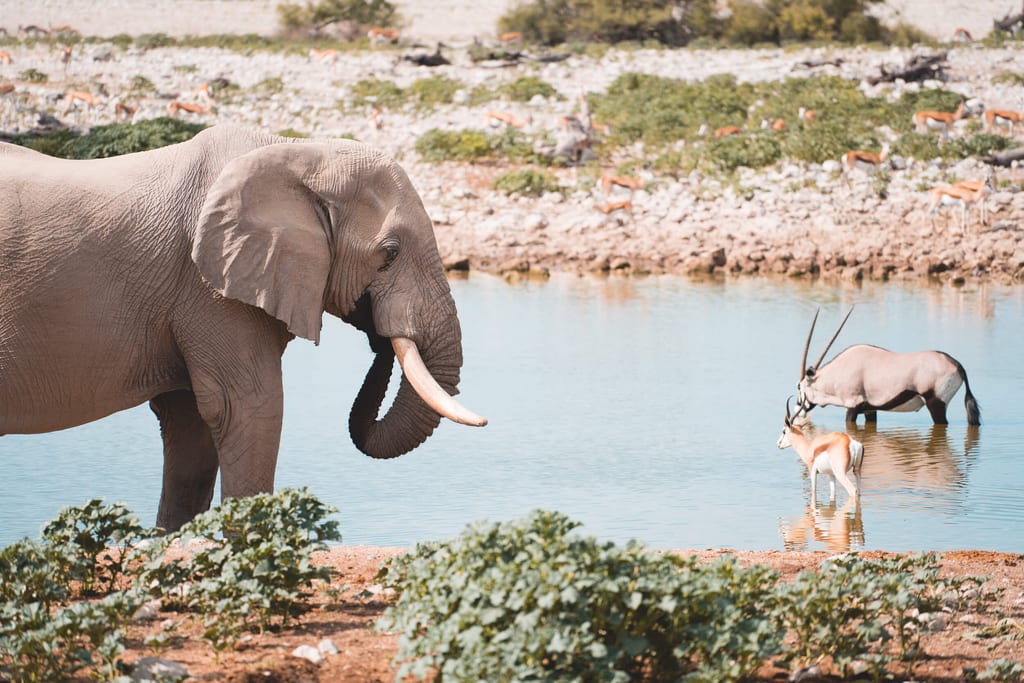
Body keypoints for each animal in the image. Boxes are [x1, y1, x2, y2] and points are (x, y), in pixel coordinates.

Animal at [0, 125, 486, 531]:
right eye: (389, 254)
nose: (377, 332)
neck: (296, 151)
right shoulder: (212, 289)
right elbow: (248, 407)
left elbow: (191, 420)